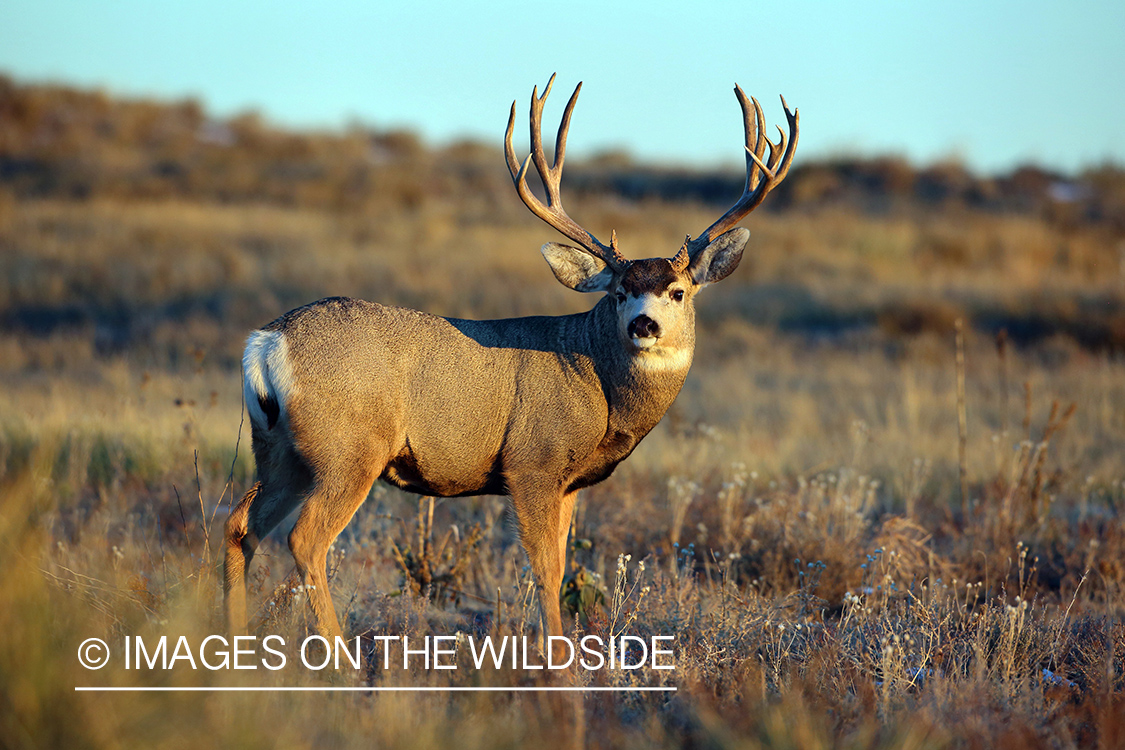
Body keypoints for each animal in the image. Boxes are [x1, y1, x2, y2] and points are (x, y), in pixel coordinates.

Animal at [221, 73, 801, 652]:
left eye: (678, 292)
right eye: (618, 293)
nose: (643, 325)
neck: (595, 379)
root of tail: (268, 340)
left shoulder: (569, 483)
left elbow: (561, 566)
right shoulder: (532, 463)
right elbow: (546, 570)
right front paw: (558, 662)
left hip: (279, 449)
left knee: (240, 523)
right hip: (348, 449)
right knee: (305, 538)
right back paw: (339, 658)